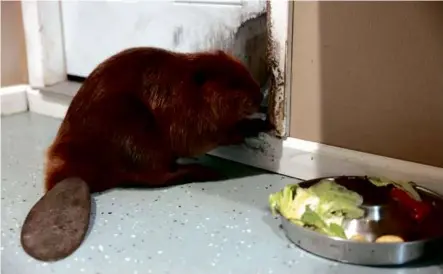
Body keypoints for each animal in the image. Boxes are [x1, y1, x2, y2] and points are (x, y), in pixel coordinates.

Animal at [20, 47, 274, 262]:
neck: (185, 83)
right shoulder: (183, 111)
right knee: (155, 176)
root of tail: (68, 179)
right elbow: (201, 135)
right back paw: (206, 172)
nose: (259, 97)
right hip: (135, 130)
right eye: (233, 83)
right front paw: (256, 124)